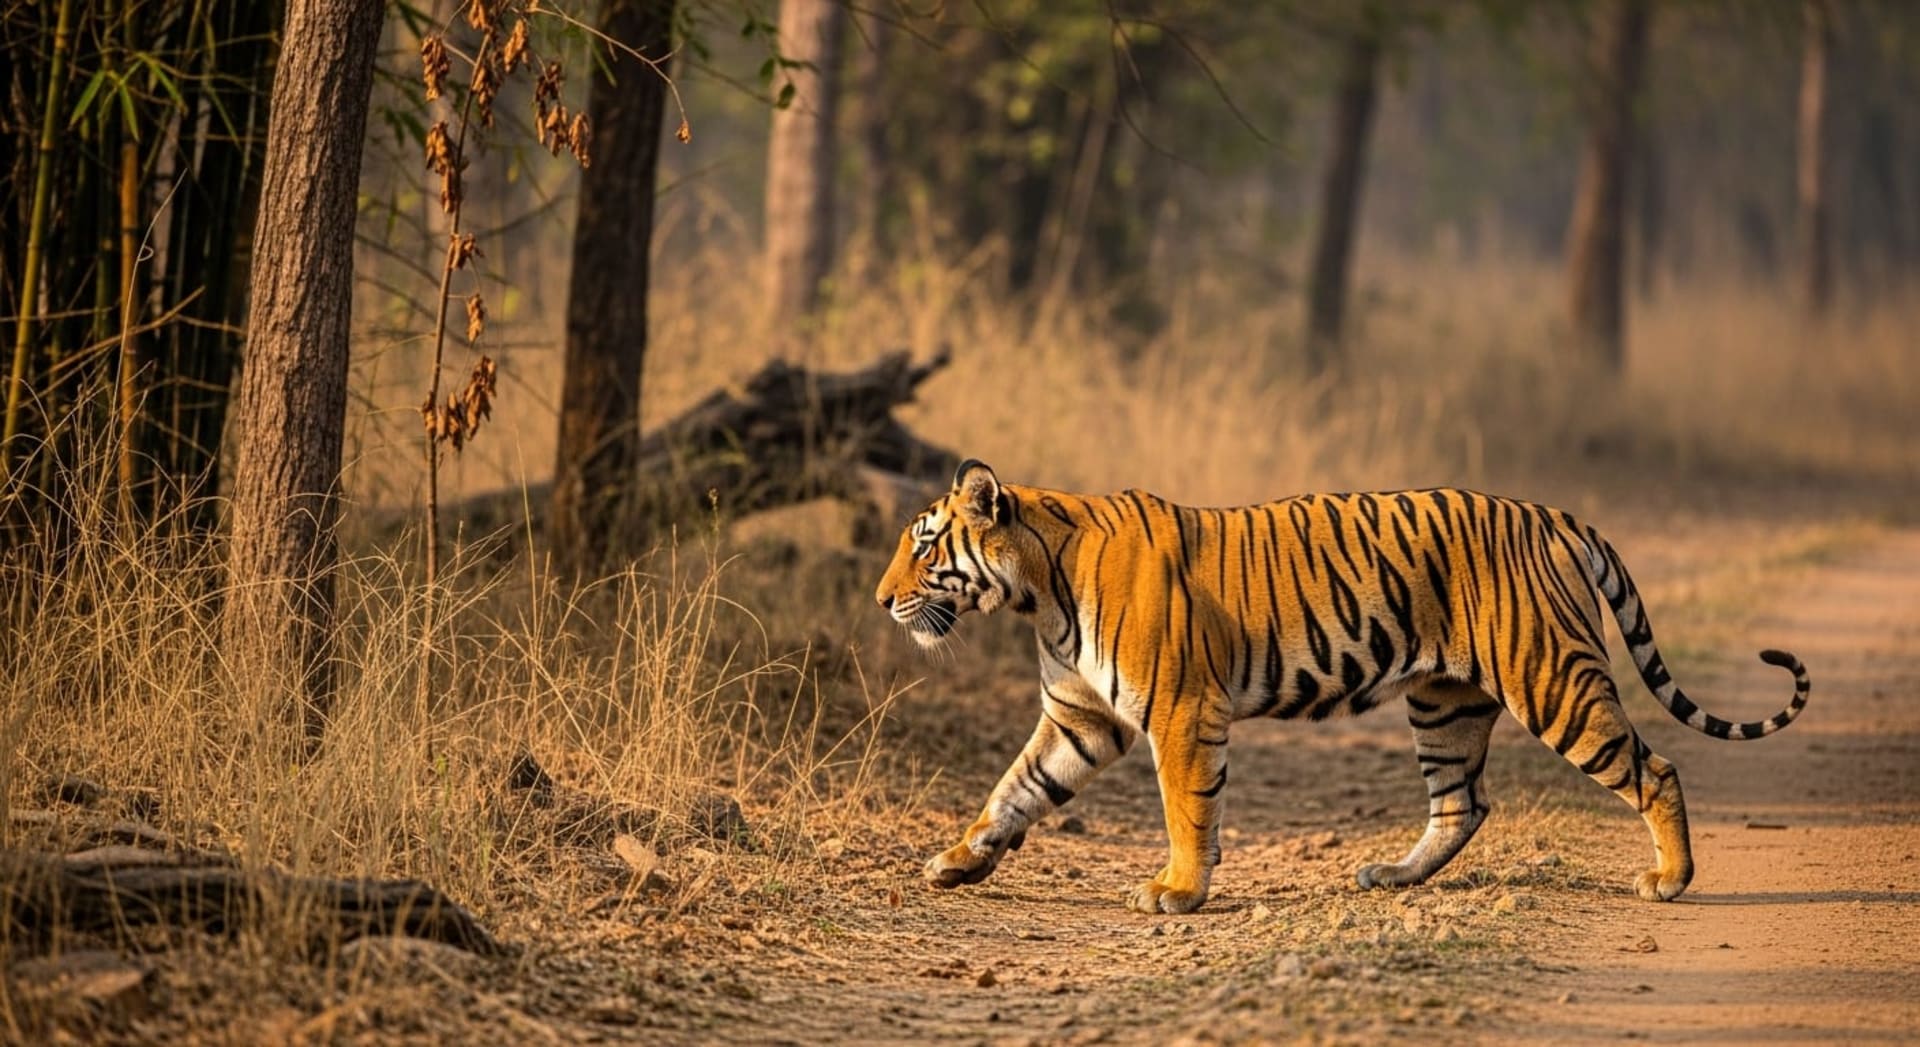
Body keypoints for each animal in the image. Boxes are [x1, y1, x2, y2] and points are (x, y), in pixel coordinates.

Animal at [874, 460, 1811, 914]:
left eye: (923, 545)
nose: (882, 600)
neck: (1038, 592)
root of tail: (1551, 515)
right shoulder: (1081, 714)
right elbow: (1014, 788)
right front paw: (958, 859)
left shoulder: (1179, 709)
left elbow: (1186, 808)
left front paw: (1179, 891)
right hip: (1444, 701)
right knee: (1463, 803)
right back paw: (1394, 875)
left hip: (1553, 682)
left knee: (1654, 768)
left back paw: (1672, 878)